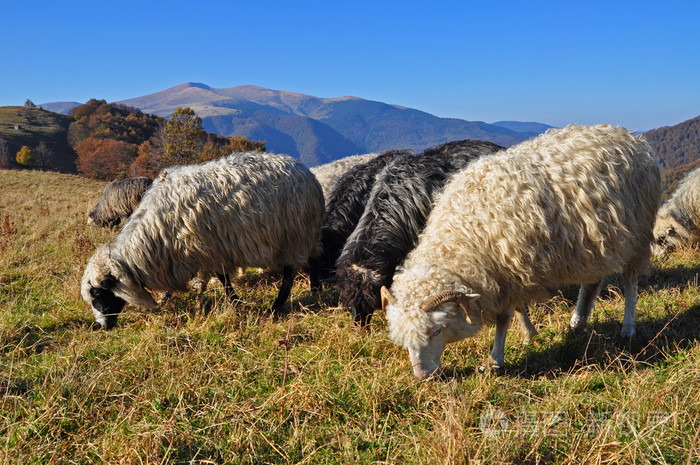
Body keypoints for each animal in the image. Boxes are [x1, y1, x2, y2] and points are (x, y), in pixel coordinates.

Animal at [82, 150, 326, 328]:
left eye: (98, 293)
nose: (101, 326)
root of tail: (306, 172)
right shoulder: (184, 256)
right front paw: (168, 298)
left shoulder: (209, 250)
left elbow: (224, 280)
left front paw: (235, 303)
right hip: (306, 235)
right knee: (315, 259)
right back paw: (315, 292)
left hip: (294, 235)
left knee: (289, 275)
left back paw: (276, 307)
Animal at [382, 125, 660, 378]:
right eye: (404, 340)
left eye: (436, 331)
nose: (422, 376)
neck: (463, 233)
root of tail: (630, 136)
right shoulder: (509, 270)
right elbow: (517, 309)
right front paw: (529, 334)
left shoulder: (510, 266)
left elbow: (504, 318)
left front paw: (495, 359)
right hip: (594, 240)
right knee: (592, 282)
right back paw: (577, 323)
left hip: (637, 231)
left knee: (630, 279)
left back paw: (628, 328)